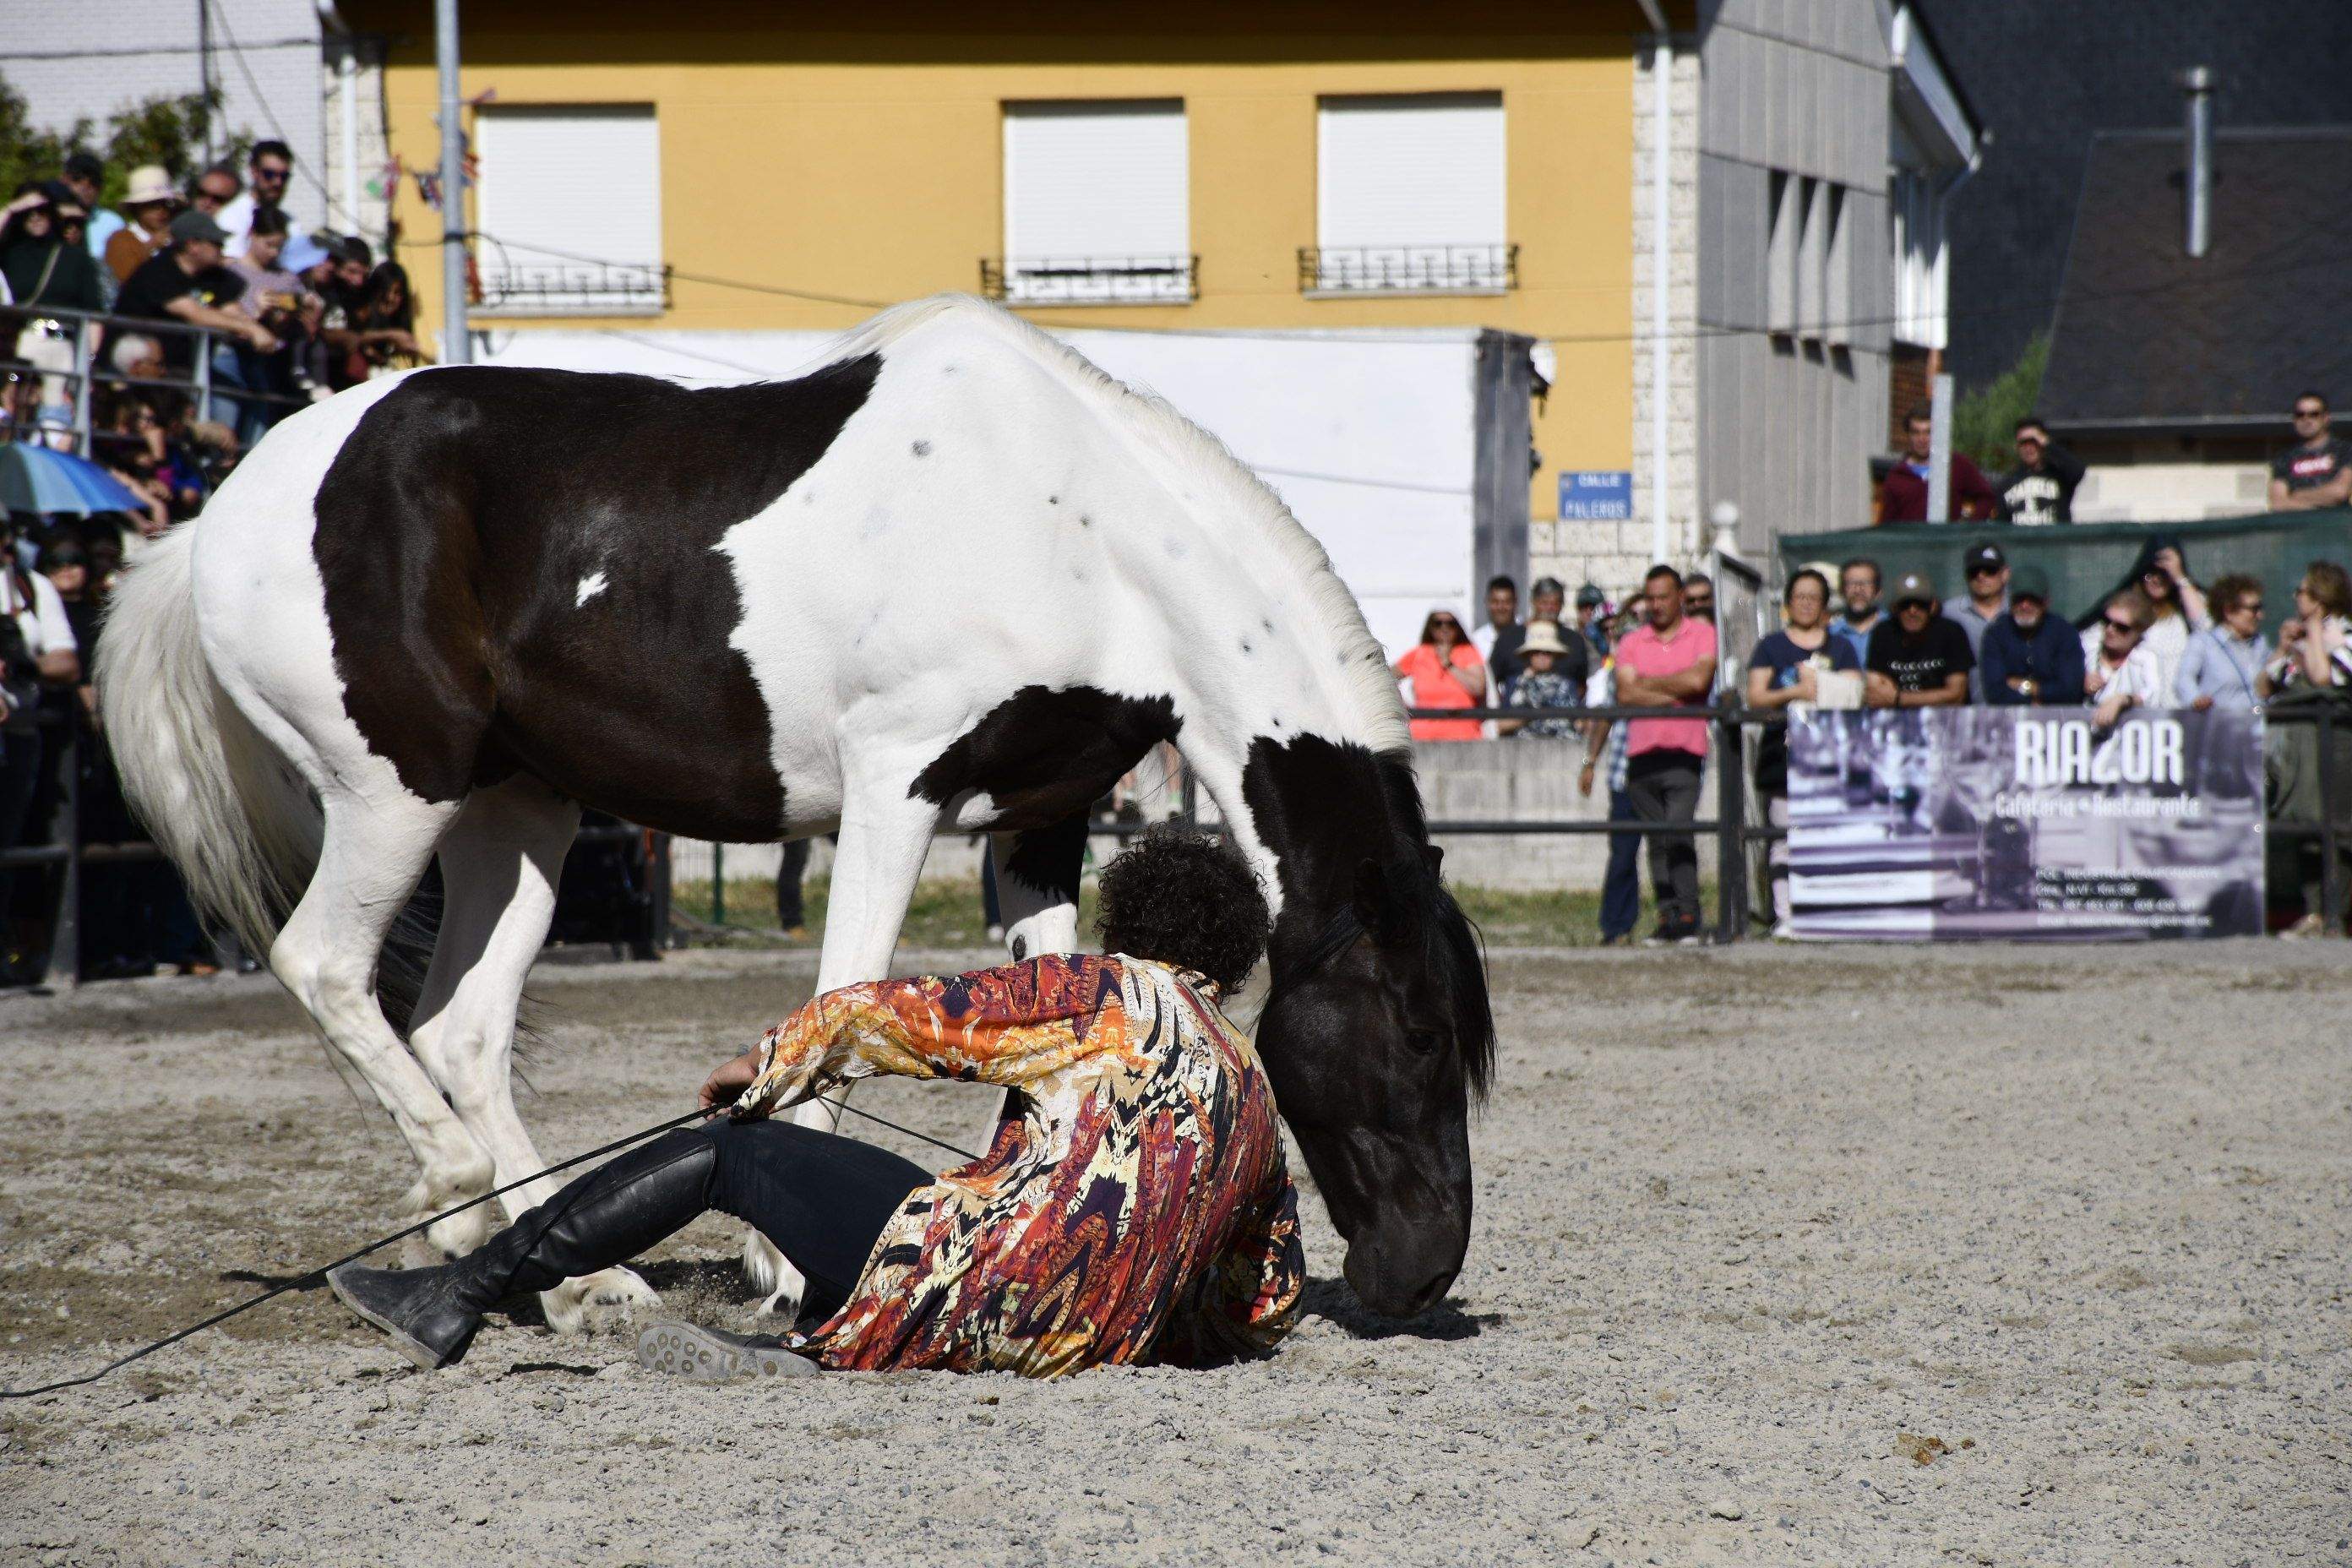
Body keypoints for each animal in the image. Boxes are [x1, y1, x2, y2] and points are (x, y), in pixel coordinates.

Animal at [101, 291, 1495, 1326]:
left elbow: (1047, 1008)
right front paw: (782, 1266)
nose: (1425, 1269)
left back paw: (581, 1281)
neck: (1074, 529)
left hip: (521, 817)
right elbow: (845, 1005)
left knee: (460, 1031)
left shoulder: (1035, 825)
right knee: (326, 965)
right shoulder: (896, 790)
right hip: (394, 793)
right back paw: (455, 1203)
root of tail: (209, 522)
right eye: (1422, 1033)